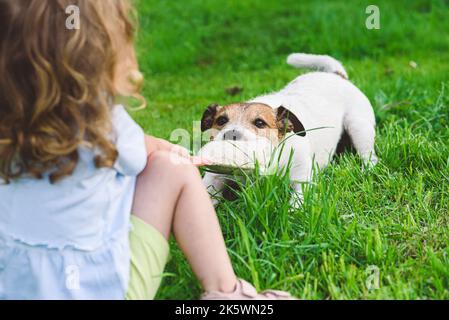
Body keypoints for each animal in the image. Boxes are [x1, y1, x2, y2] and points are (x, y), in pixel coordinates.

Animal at [199, 52, 374, 206]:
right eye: (221, 120)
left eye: (260, 123)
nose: (231, 134)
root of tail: (336, 76)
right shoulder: (213, 176)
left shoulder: (302, 177)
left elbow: (297, 200)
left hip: (359, 127)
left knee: (369, 155)